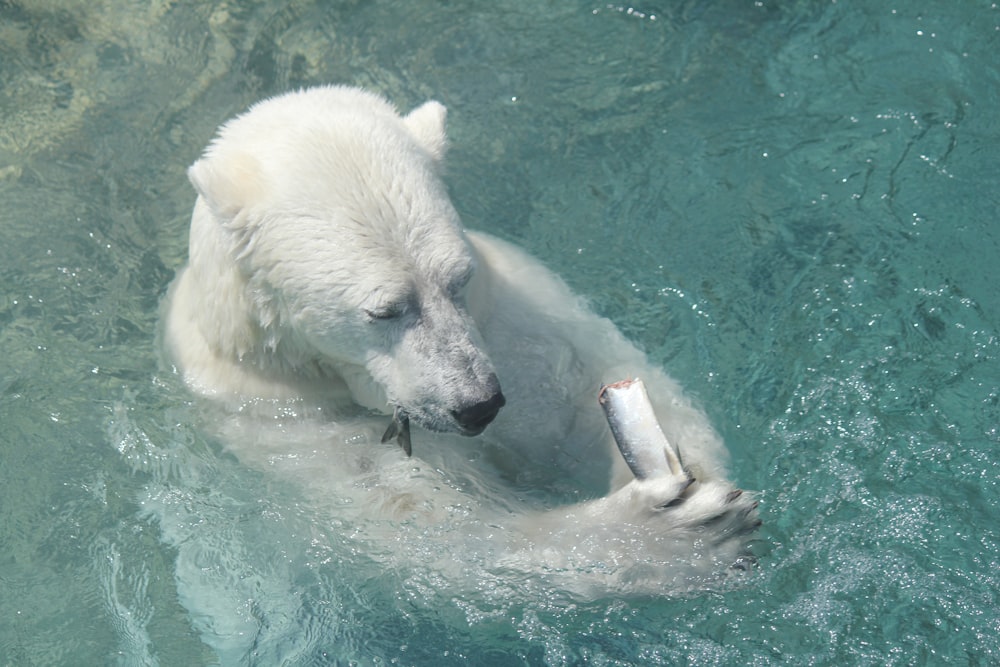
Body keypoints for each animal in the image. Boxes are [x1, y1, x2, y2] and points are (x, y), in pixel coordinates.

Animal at [164, 83, 756, 600]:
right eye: (385, 309)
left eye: (458, 279)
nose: (478, 405)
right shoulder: (284, 415)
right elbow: (430, 525)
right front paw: (674, 535)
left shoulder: (506, 316)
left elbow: (575, 387)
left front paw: (686, 469)